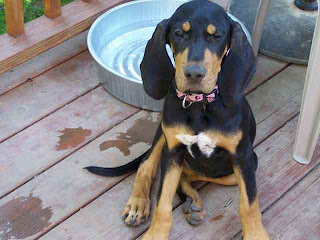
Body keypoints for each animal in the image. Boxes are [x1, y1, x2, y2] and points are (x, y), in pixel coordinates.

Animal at [85, 0, 270, 239]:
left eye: (216, 36)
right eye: (179, 33)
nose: (194, 74)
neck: (200, 104)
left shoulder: (243, 157)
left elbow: (249, 204)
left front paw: (256, 233)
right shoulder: (172, 151)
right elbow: (162, 202)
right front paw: (155, 234)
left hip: (244, 165)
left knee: (191, 176)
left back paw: (192, 203)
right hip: (163, 139)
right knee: (148, 165)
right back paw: (139, 204)